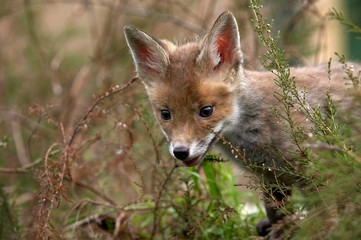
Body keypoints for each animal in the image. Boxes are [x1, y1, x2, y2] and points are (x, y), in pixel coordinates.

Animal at [123, 10, 358, 238]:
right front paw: (280, 231)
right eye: (165, 114)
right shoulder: (270, 177)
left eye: (206, 111)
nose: (180, 151)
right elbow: (277, 213)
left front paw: (325, 232)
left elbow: (325, 214)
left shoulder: (313, 167)